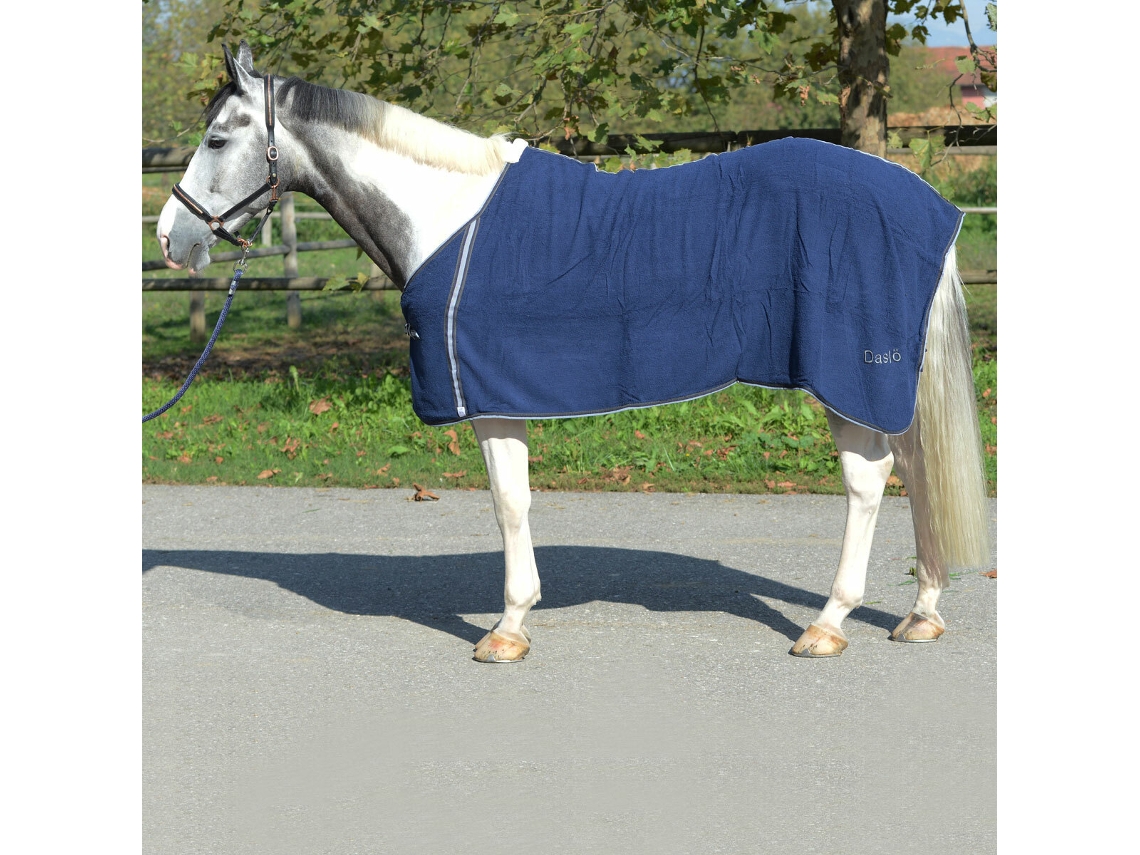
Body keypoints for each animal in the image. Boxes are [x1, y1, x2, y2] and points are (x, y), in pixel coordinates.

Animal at [156, 42, 991, 662]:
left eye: (217, 138)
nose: (171, 236)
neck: (446, 216)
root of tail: (924, 200)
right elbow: (516, 500)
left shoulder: (489, 396)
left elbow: (508, 502)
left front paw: (506, 628)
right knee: (915, 470)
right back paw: (920, 612)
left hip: (845, 376)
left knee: (870, 479)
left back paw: (828, 623)